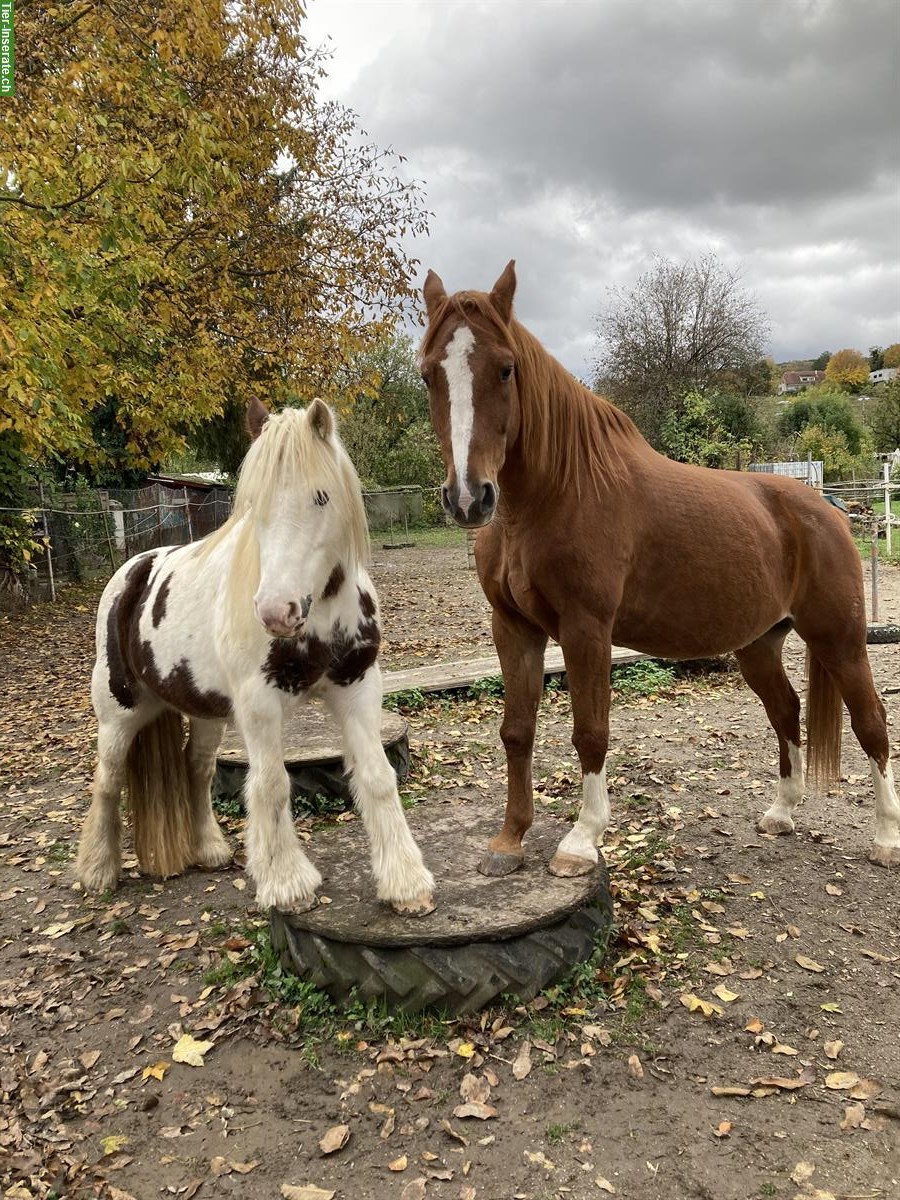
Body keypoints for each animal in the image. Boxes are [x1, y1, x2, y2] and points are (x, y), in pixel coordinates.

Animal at [75, 398, 434, 912]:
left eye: (321, 496)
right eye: (255, 505)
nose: (274, 611)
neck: (320, 614)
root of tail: (132, 570)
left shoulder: (358, 687)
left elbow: (378, 776)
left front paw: (405, 883)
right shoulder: (259, 703)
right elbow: (271, 784)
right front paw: (287, 883)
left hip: (204, 712)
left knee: (197, 769)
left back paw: (209, 848)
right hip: (117, 713)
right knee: (107, 782)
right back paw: (97, 872)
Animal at [422, 262, 900, 878]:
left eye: (506, 369)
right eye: (429, 375)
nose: (468, 498)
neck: (555, 494)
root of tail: (829, 511)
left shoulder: (585, 630)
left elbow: (590, 732)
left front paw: (581, 841)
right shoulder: (514, 630)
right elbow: (516, 731)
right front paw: (509, 841)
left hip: (840, 639)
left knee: (872, 723)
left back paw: (886, 839)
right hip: (759, 644)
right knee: (786, 710)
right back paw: (781, 813)